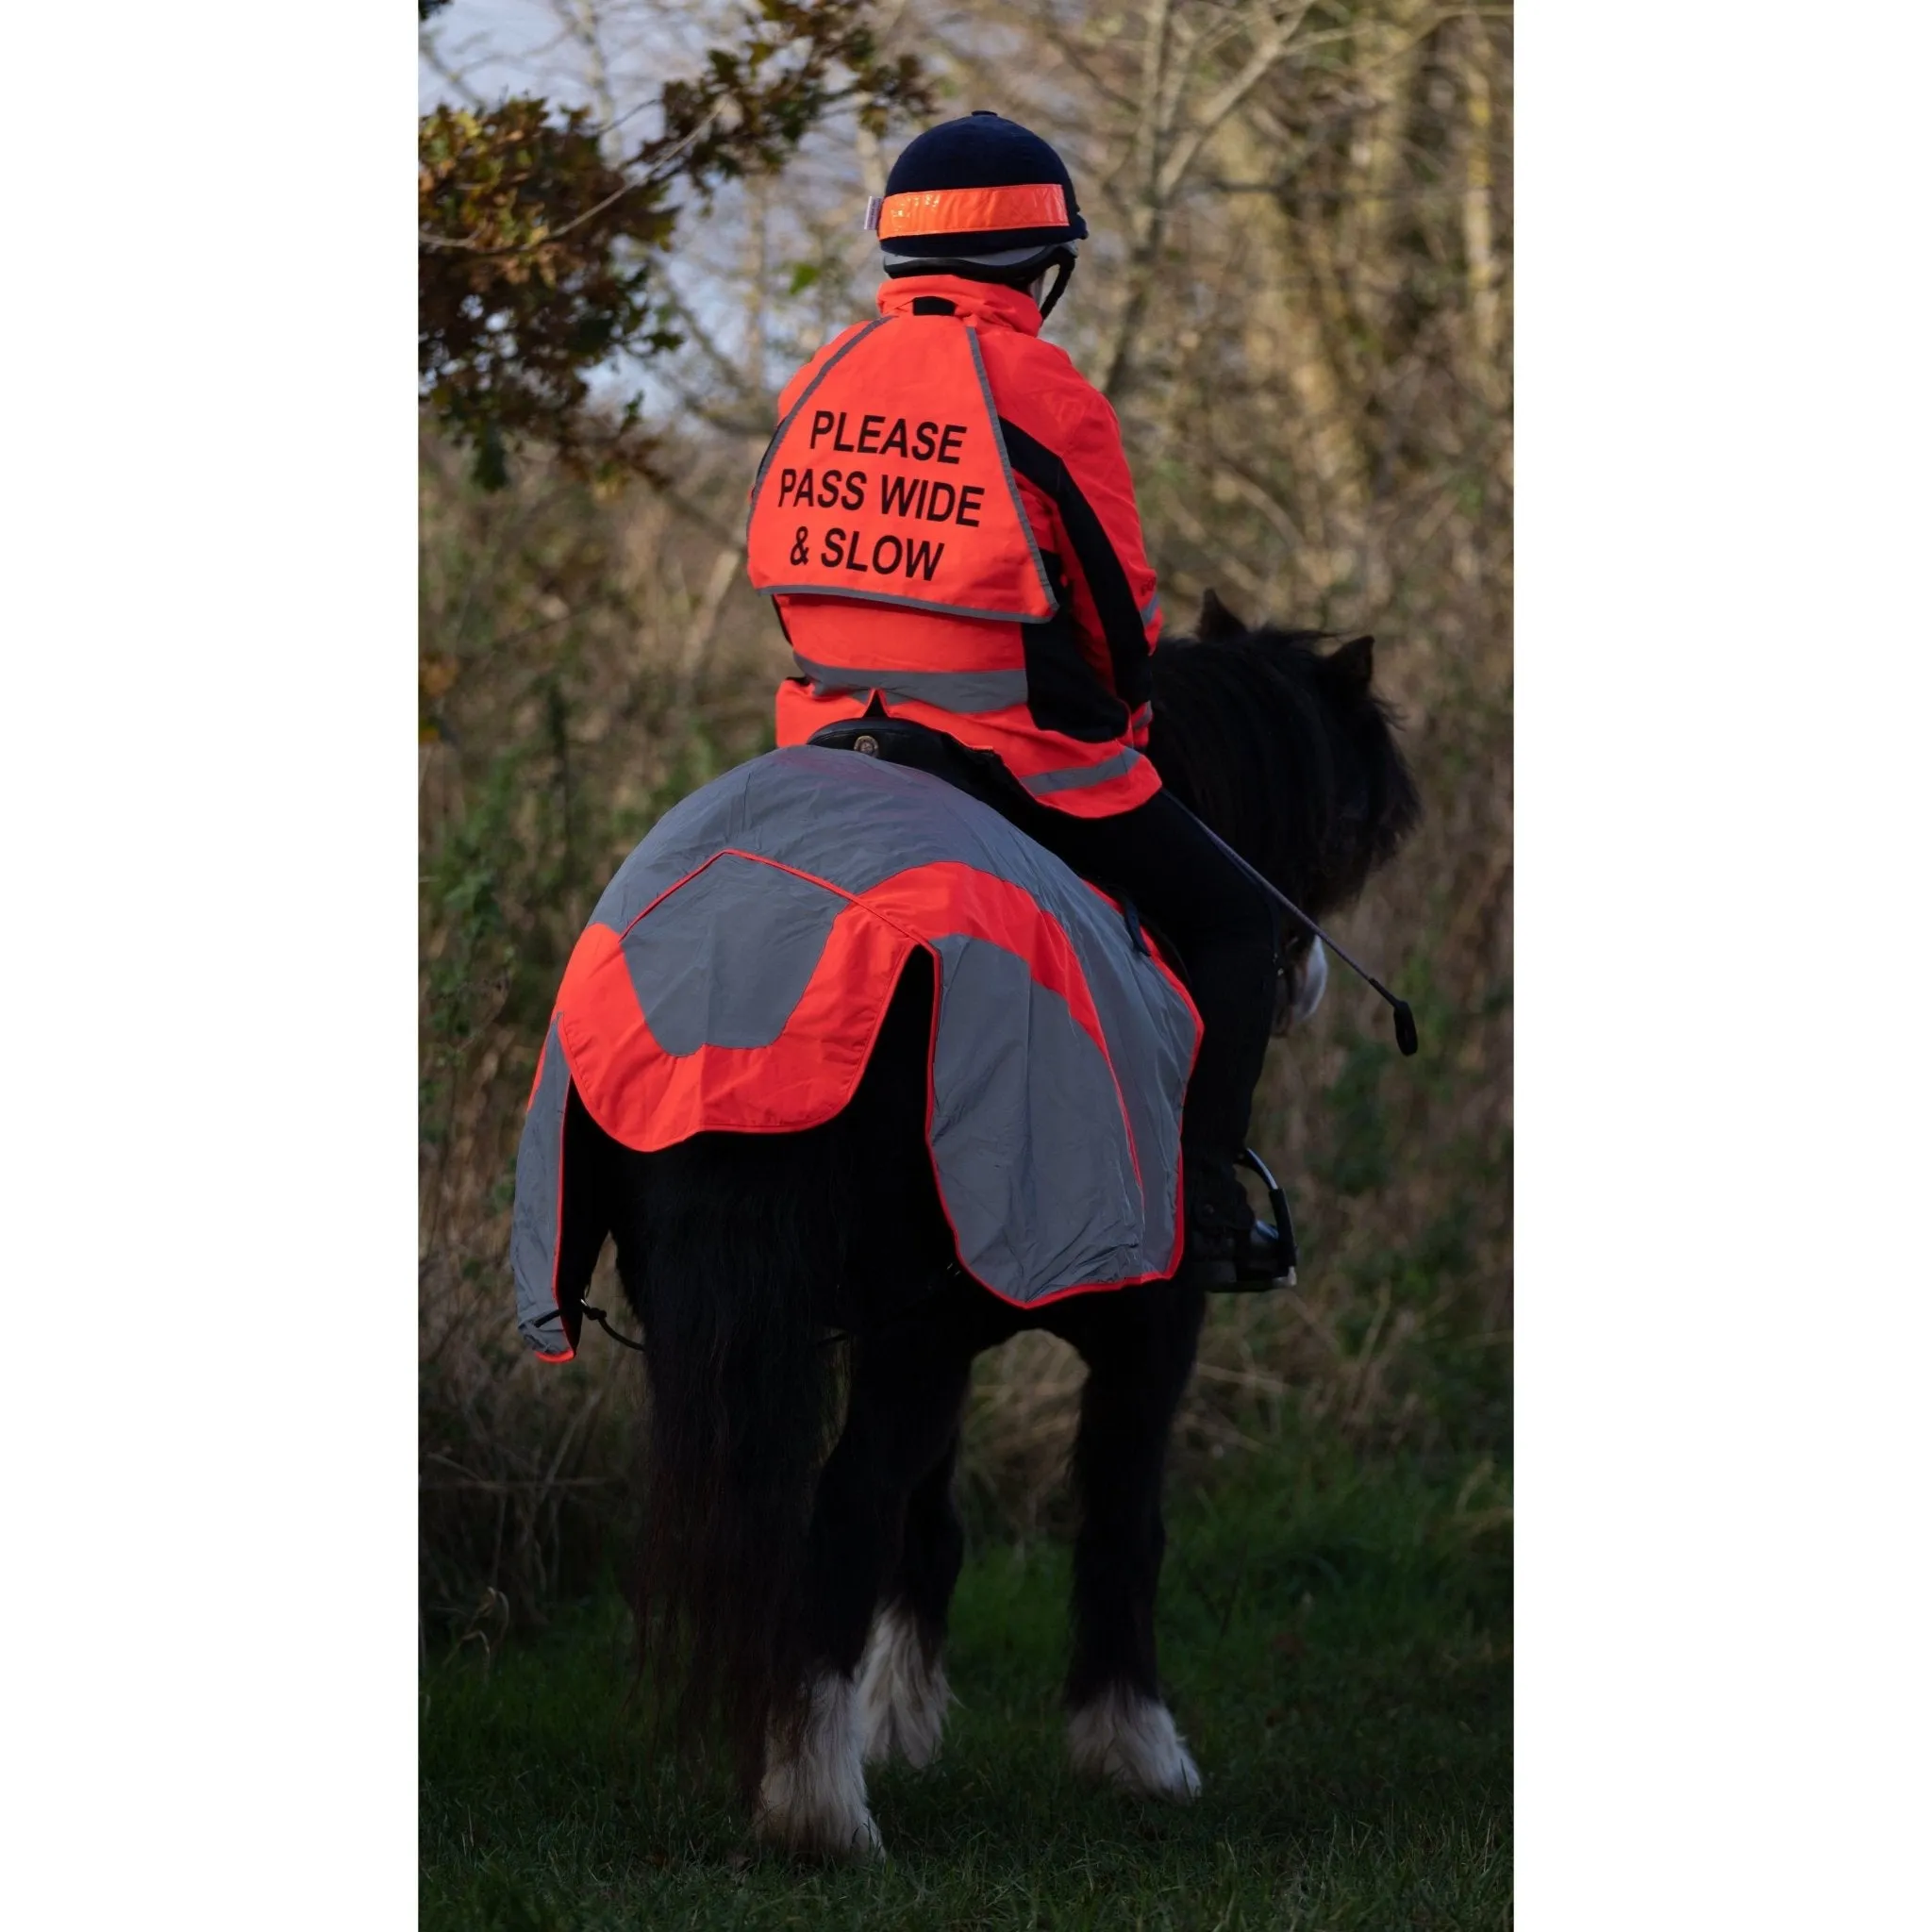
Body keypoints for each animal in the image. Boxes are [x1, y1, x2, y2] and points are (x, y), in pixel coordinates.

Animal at [544, 587, 1422, 1855]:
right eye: (1348, 817)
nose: (1296, 972)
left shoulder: (932, 1328)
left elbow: (933, 1527)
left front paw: (899, 1720)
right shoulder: (1142, 1329)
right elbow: (1118, 1520)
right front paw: (1133, 1749)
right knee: (840, 1511)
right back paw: (815, 1805)